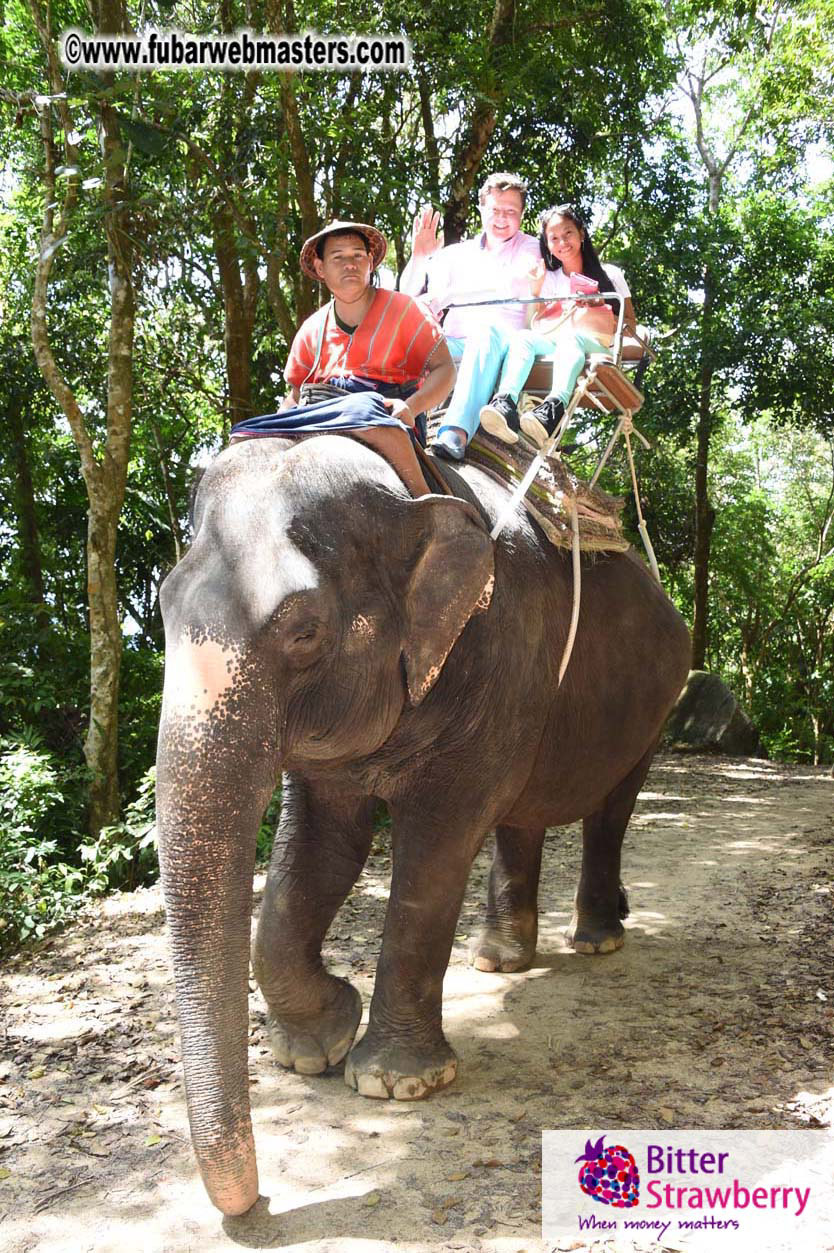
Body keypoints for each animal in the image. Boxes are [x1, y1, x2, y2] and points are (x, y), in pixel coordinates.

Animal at [156, 432, 691, 1216]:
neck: (410, 493)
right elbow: (321, 849)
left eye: (305, 631)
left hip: (658, 700)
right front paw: (317, 1043)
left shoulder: (500, 651)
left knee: (610, 808)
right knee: (521, 814)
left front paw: (395, 1081)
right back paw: (499, 959)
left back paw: (596, 940)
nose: (258, 1204)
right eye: (161, 608)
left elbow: (436, 846)